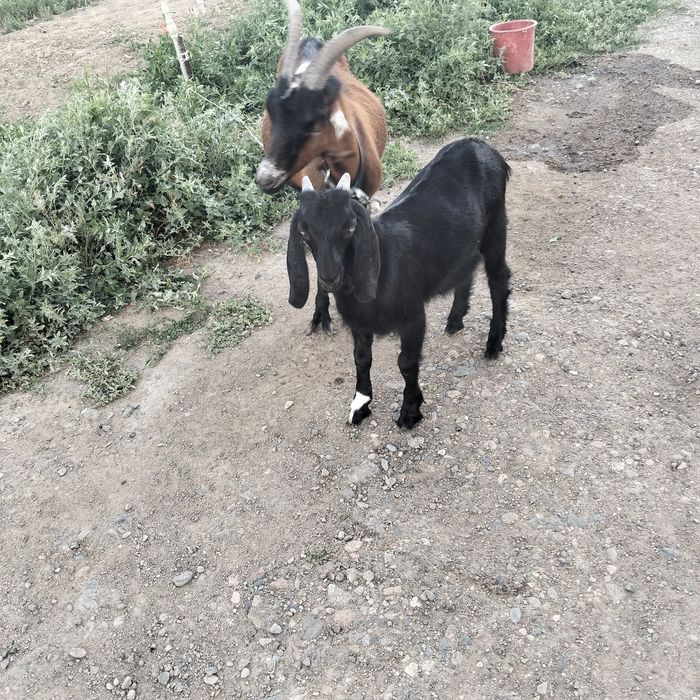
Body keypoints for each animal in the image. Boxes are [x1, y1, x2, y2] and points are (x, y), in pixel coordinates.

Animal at [286, 138, 512, 428]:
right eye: (304, 232)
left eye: (350, 227)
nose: (328, 278)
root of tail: (479, 144)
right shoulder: (360, 323)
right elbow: (361, 360)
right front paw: (360, 406)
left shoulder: (413, 317)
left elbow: (406, 363)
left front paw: (410, 412)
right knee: (466, 270)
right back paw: (455, 320)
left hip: (496, 226)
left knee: (499, 280)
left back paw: (493, 344)